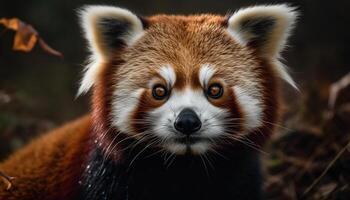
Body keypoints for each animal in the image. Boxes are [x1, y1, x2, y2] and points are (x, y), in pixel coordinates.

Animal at [0, 3, 298, 199]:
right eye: (159, 91)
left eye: (214, 90)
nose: (187, 122)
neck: (185, 170)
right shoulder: (105, 178)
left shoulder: (241, 179)